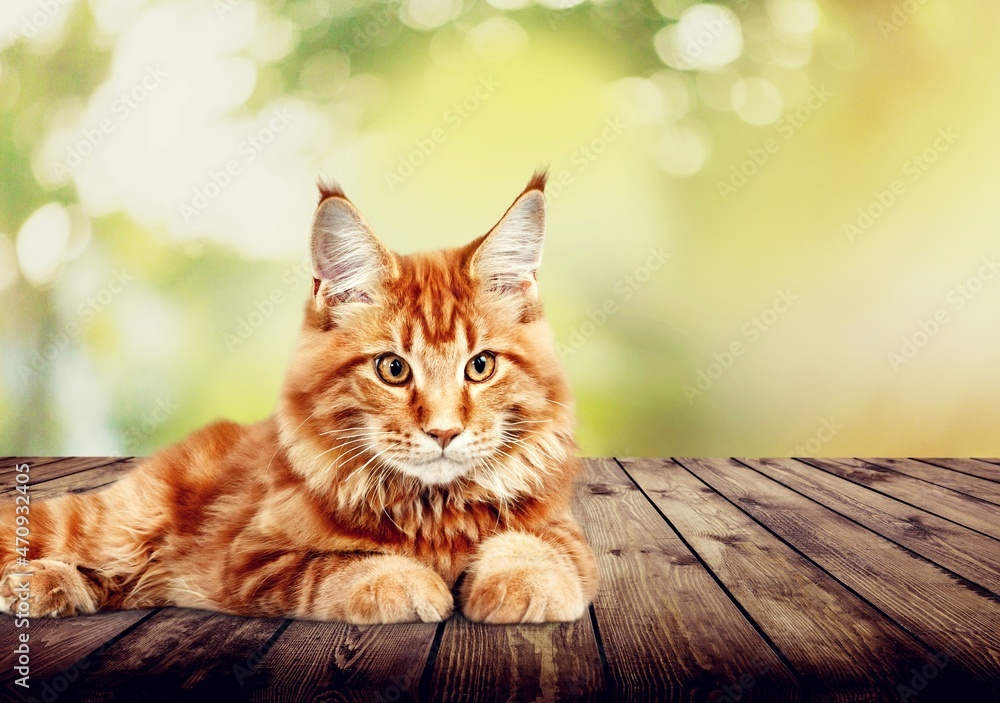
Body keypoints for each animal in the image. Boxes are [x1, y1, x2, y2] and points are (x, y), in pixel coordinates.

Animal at [0, 173, 596, 624]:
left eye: (480, 366)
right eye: (393, 369)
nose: (444, 431)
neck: (434, 511)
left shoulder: (563, 534)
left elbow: (538, 550)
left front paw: (521, 583)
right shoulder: (253, 559)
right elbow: (342, 568)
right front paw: (411, 583)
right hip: (117, 527)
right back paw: (32, 581)